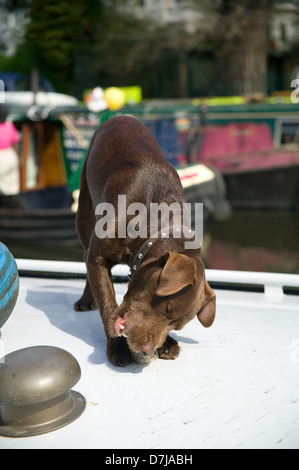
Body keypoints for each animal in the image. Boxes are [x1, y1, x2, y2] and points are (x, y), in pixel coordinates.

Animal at [74, 115, 216, 366]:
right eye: (166, 307)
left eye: (176, 324)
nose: (148, 351)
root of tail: (121, 116)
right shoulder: (98, 257)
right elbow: (108, 304)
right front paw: (117, 347)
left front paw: (167, 342)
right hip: (84, 208)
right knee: (84, 253)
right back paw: (86, 299)